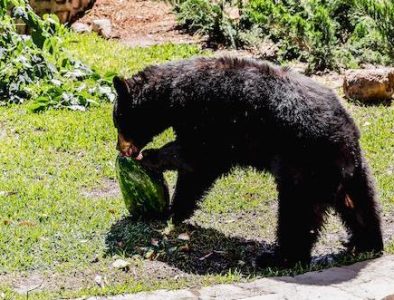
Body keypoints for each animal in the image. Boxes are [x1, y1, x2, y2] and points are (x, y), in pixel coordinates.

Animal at [112, 56, 384, 268]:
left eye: (117, 121)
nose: (121, 149)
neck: (170, 93)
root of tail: (344, 136)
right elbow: (197, 172)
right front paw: (176, 210)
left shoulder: (204, 115)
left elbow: (197, 158)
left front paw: (151, 159)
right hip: (353, 170)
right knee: (360, 203)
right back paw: (364, 242)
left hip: (302, 165)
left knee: (297, 213)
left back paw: (277, 258)